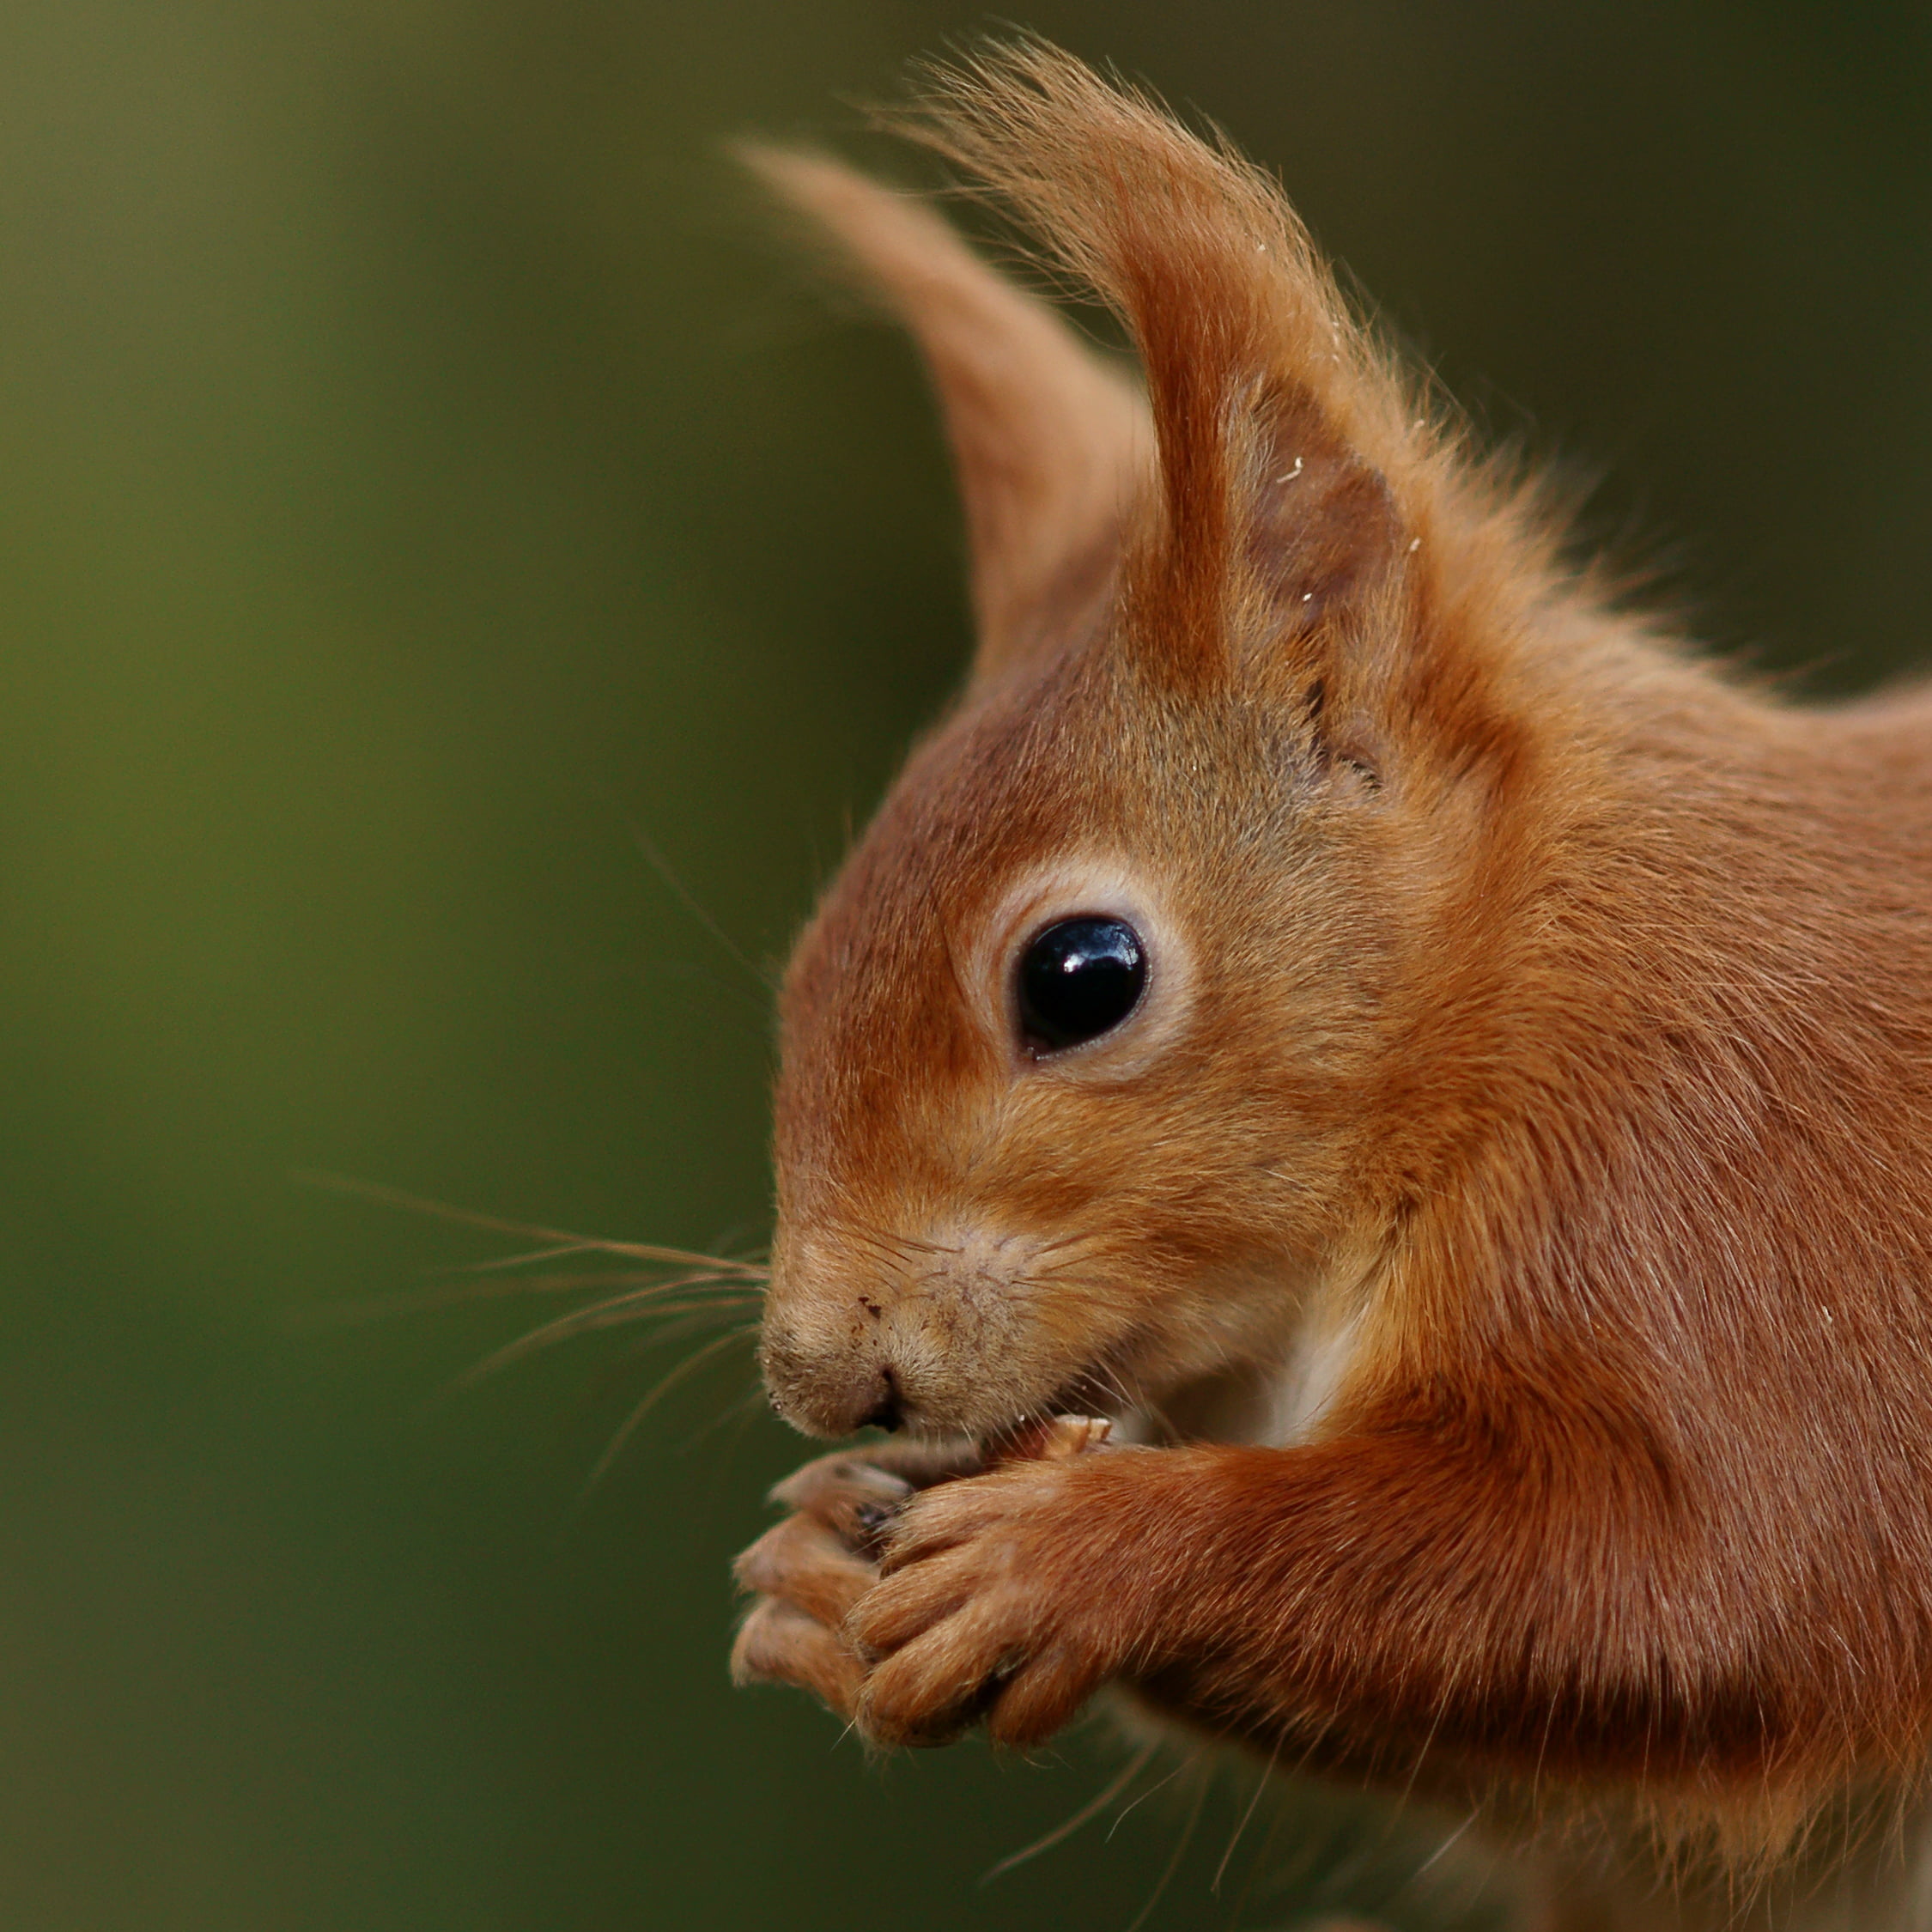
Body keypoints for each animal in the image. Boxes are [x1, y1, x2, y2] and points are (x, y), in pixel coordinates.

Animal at [724, 40, 1932, 1932]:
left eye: (1082, 977)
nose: (830, 1379)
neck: (1508, 1005)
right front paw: (814, 1564)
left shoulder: (1743, 1217)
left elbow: (1717, 1591)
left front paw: (1089, 1553)